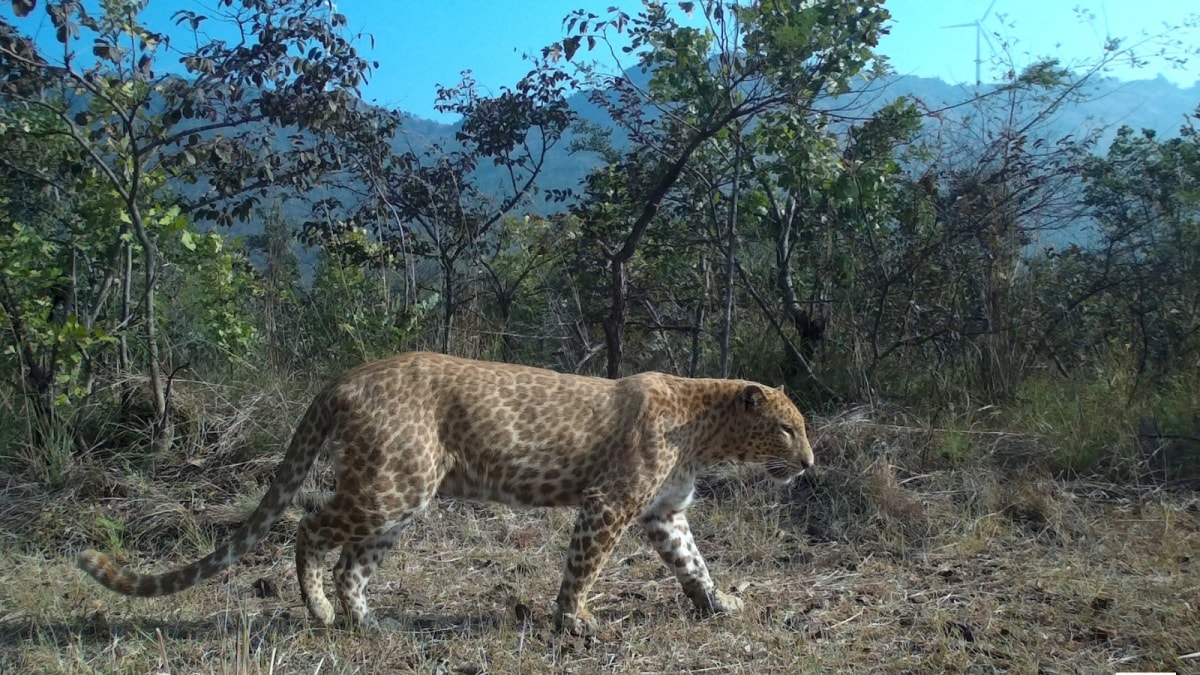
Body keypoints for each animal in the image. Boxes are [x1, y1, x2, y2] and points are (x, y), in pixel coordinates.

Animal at [78, 352, 814, 636]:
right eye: (787, 427)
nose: (809, 463)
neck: (705, 430)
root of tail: (346, 377)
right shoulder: (608, 504)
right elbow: (584, 566)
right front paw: (574, 620)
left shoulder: (664, 514)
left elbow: (694, 564)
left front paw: (719, 603)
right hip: (391, 486)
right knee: (309, 529)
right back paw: (320, 610)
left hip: (401, 502)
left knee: (352, 564)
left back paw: (367, 622)